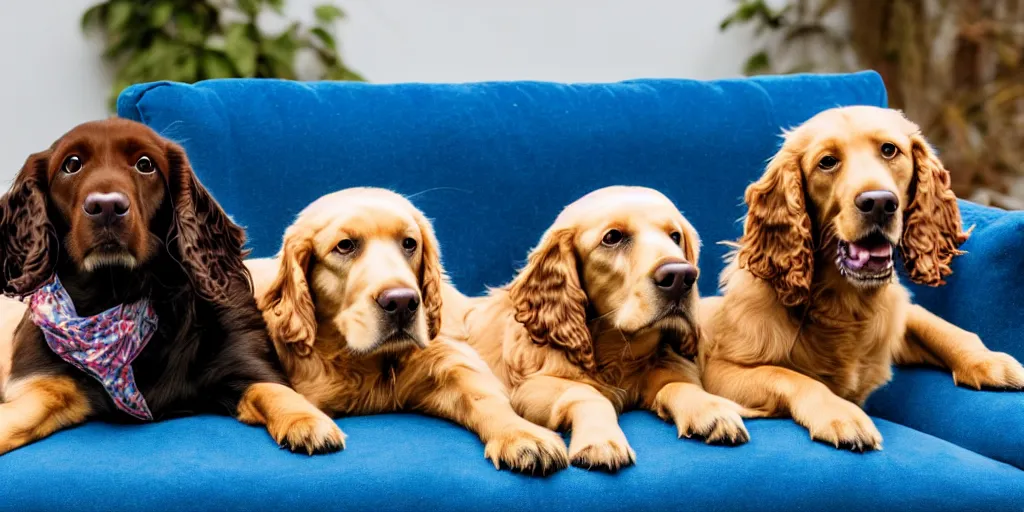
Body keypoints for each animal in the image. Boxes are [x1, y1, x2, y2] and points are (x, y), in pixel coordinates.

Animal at [244, 188, 573, 475]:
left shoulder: (445, 362)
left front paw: (522, 435)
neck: (363, 362)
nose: (402, 302)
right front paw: (305, 421)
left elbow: (482, 394)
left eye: (409, 243)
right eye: (345, 245)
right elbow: (269, 388)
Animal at [452, 186, 757, 468]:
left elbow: (678, 384)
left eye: (675, 236)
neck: (618, 354)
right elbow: (587, 393)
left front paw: (710, 410)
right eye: (612, 238)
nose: (682, 277)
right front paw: (601, 440)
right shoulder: (529, 389)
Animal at [700, 105, 1024, 450]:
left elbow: (936, 324)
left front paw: (988, 361)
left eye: (889, 150)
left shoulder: (893, 321)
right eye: (827, 161)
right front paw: (841, 415)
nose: (879, 202)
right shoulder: (722, 370)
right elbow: (787, 375)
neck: (843, 302)